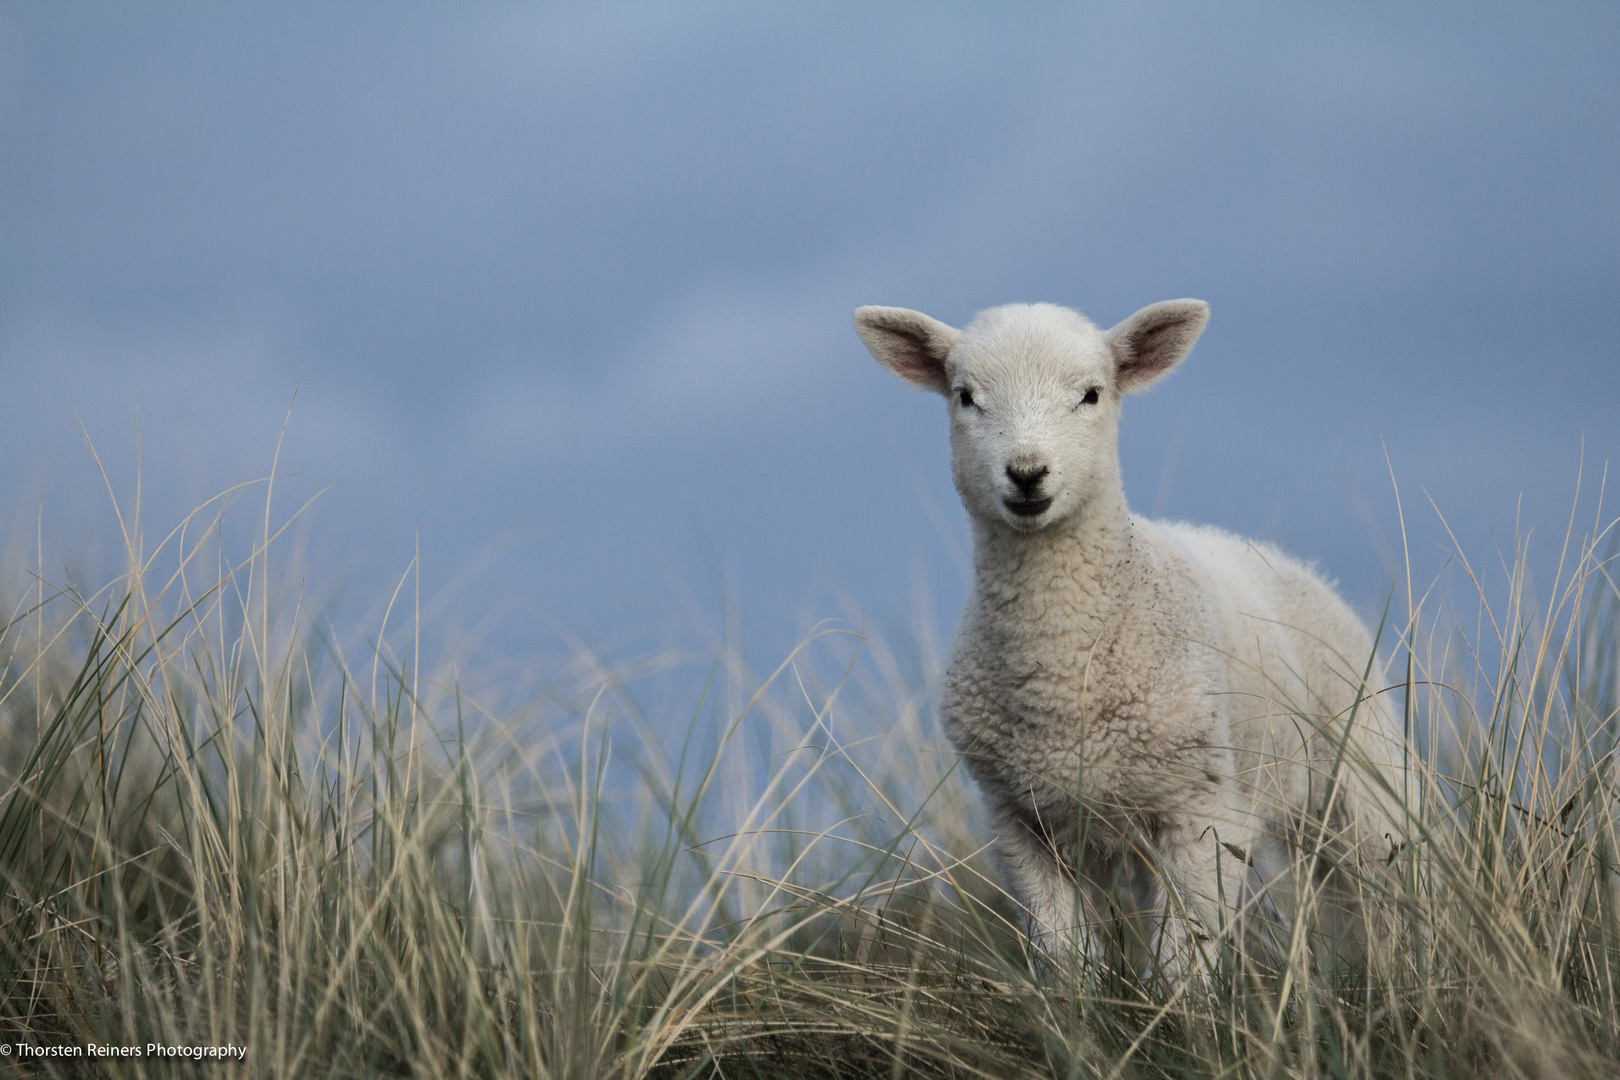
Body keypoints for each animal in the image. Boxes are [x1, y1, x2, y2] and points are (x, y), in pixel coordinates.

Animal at [861, 299, 1406, 984]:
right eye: (965, 397)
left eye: (1091, 395)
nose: (1027, 475)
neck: (1062, 677)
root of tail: (1298, 567)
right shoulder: (1023, 822)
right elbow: (1064, 953)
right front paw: (1076, 1009)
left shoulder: (1197, 811)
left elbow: (1184, 961)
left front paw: (1184, 1012)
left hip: (1361, 779)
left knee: (1383, 896)